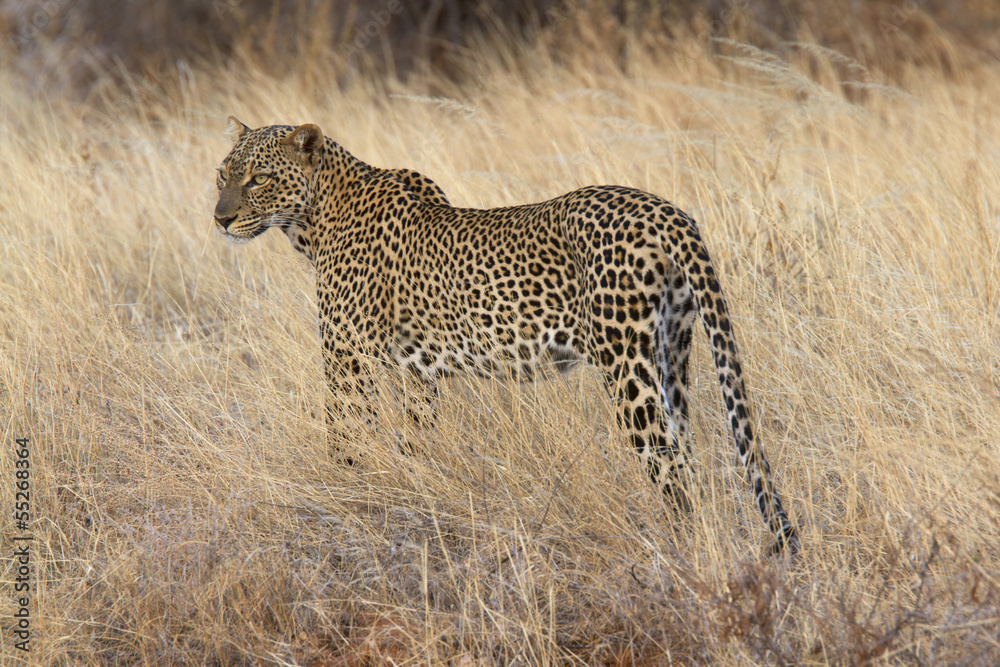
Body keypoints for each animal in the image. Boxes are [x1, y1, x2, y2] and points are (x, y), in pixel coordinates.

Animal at [215, 117, 800, 556]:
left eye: (258, 179)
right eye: (222, 174)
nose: (219, 219)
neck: (311, 222)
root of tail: (666, 211)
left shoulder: (346, 357)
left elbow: (344, 437)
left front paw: (340, 493)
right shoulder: (413, 372)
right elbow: (415, 443)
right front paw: (414, 494)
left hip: (626, 365)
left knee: (669, 465)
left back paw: (674, 551)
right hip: (673, 353)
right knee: (689, 453)